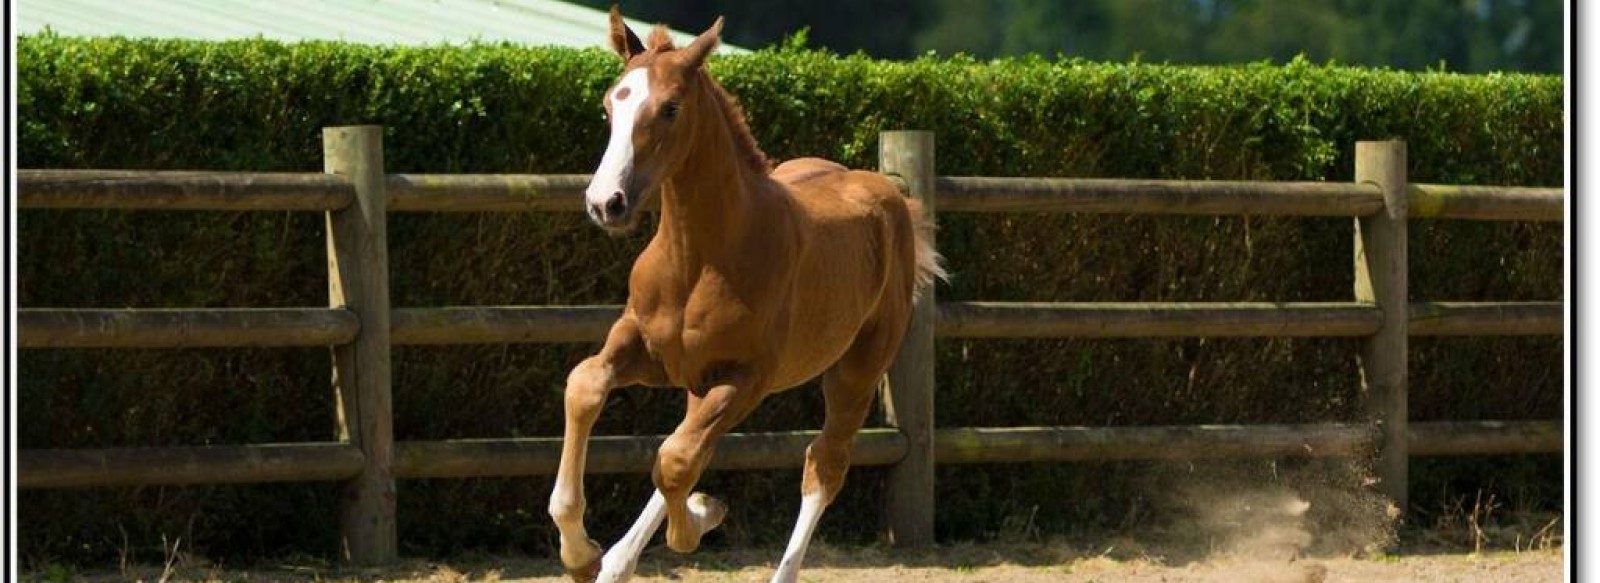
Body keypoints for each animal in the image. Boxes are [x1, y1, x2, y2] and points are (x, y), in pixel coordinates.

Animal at [550, 9, 940, 583]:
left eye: (670, 108)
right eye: (609, 104)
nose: (606, 203)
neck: (699, 259)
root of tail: (891, 196)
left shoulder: (746, 377)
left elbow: (676, 463)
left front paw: (697, 519)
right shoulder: (649, 349)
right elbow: (587, 387)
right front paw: (582, 553)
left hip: (857, 370)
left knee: (822, 466)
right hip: (702, 380)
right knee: (690, 442)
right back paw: (619, 560)